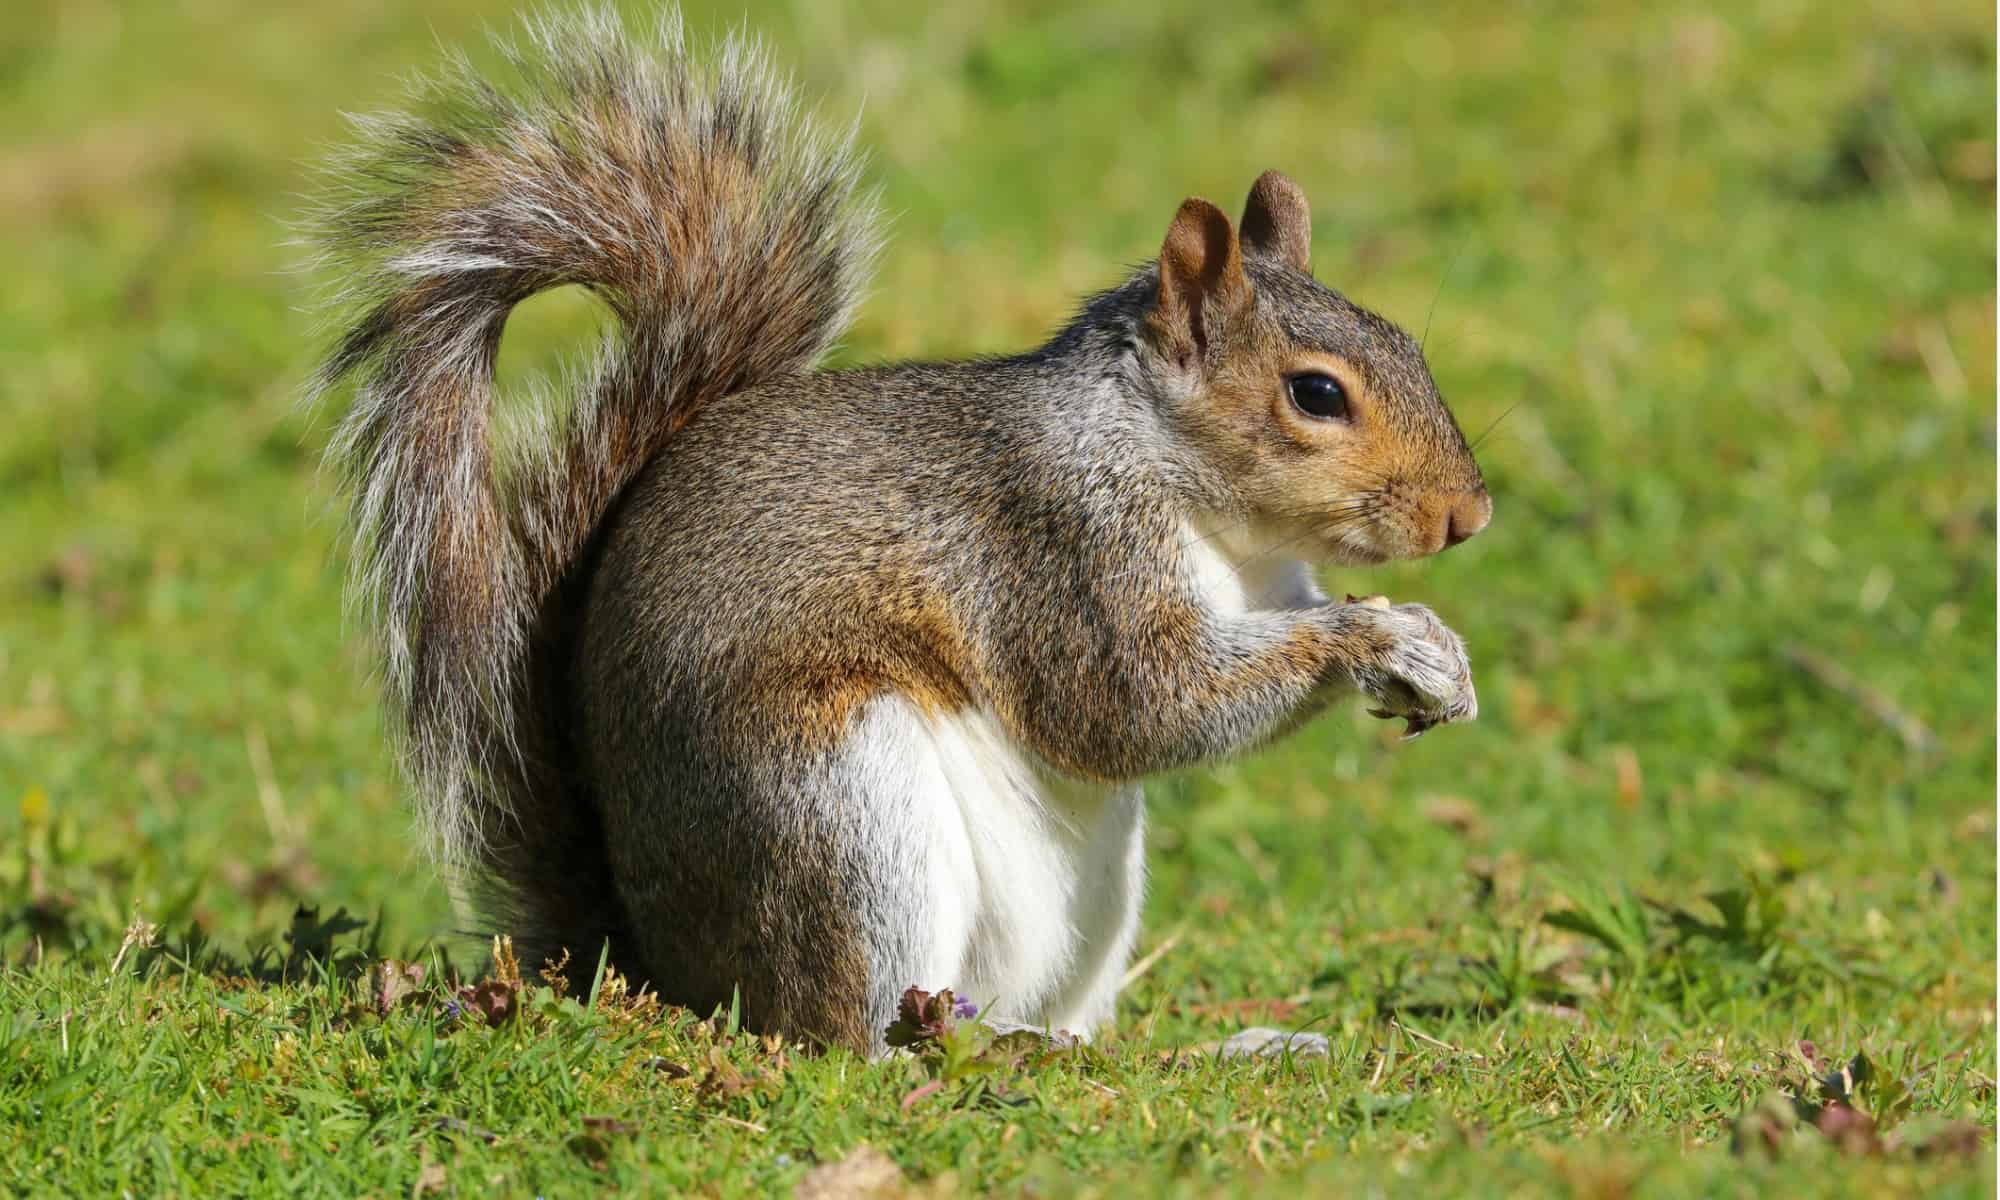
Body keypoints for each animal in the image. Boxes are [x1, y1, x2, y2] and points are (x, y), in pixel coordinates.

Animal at [308, 9, 1488, 1056]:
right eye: (1315, 394)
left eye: (1406, 343)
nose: (1466, 515)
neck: (1210, 515)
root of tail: (653, 962)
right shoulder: (1059, 548)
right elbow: (1137, 706)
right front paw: (1372, 640)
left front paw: (1435, 650)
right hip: (838, 814)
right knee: (844, 1030)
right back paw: (972, 1049)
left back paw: (1176, 1047)